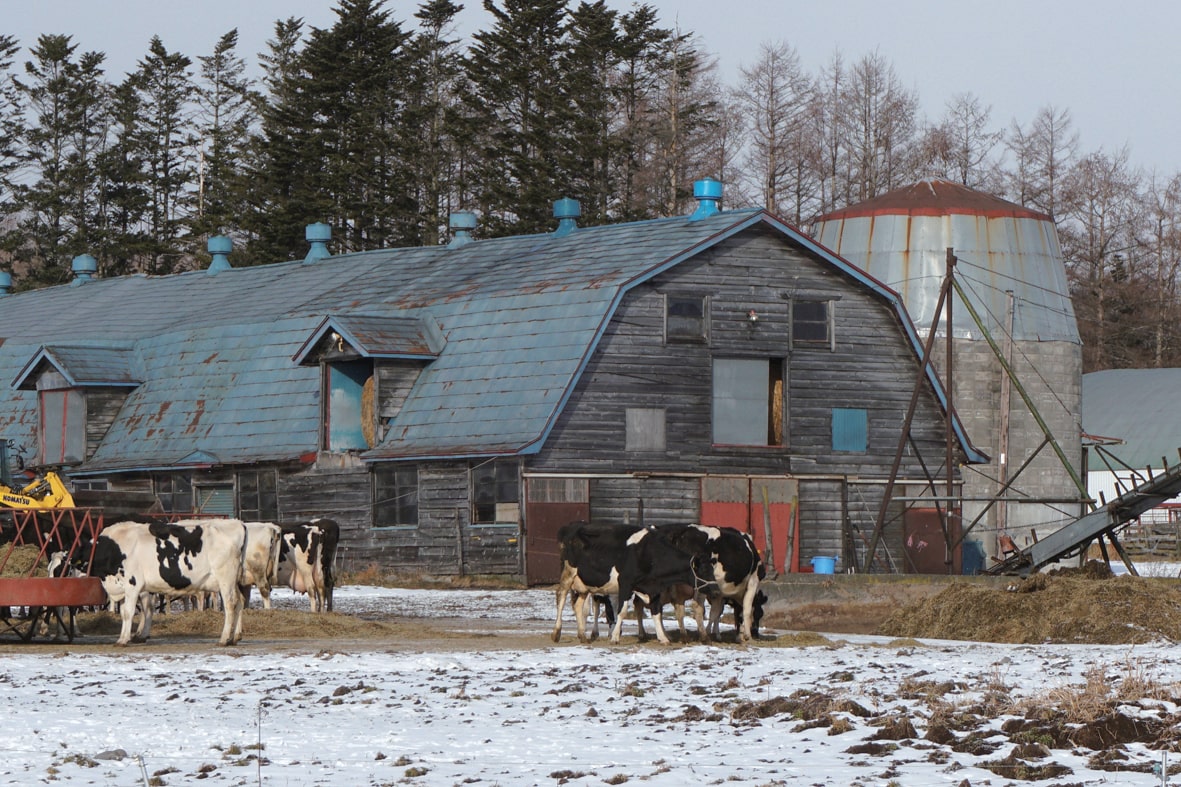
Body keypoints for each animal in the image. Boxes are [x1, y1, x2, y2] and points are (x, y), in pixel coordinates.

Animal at [85, 517, 249, 642]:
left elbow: (132, 612)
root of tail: (237, 523)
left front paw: (125, 639)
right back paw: (235, 637)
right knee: (240, 601)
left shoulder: (133, 584)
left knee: (230, 604)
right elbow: (135, 611)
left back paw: (224, 639)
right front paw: (132, 636)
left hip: (225, 579)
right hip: (234, 582)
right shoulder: (127, 588)